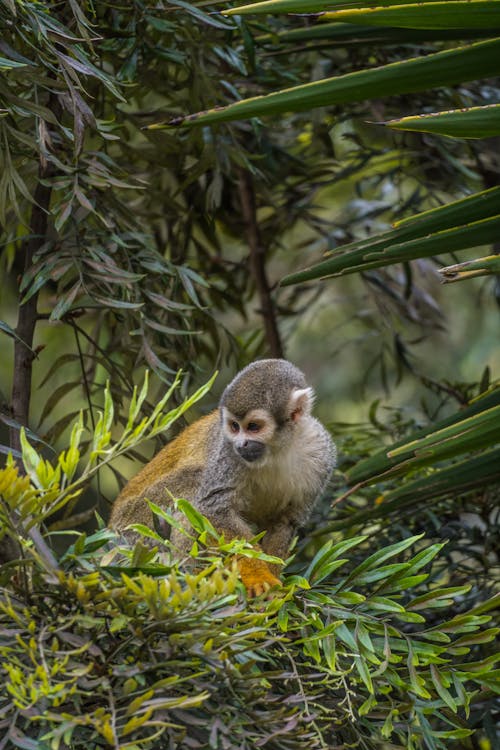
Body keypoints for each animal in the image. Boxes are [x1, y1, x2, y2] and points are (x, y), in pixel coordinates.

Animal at [110, 362, 336, 596]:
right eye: (235, 426)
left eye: (253, 427)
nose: (241, 444)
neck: (277, 450)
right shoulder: (227, 451)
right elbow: (215, 509)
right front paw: (260, 578)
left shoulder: (321, 456)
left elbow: (284, 521)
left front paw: (274, 584)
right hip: (135, 530)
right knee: (195, 482)